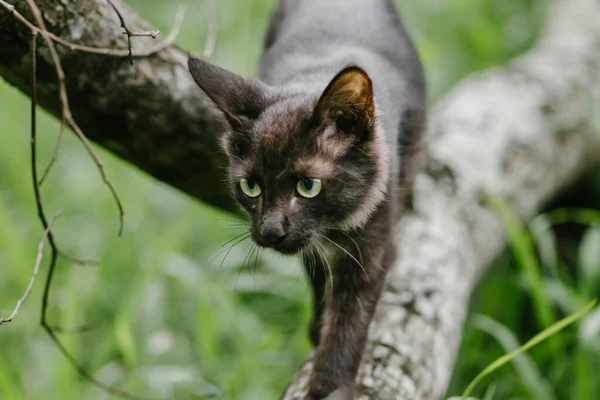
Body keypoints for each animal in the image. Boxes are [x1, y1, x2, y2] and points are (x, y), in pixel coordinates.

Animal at [189, 0, 426, 398]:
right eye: (250, 187)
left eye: (308, 186)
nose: (270, 230)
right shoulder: (309, 246)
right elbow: (318, 278)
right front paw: (318, 330)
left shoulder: (370, 244)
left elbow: (349, 319)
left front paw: (332, 385)